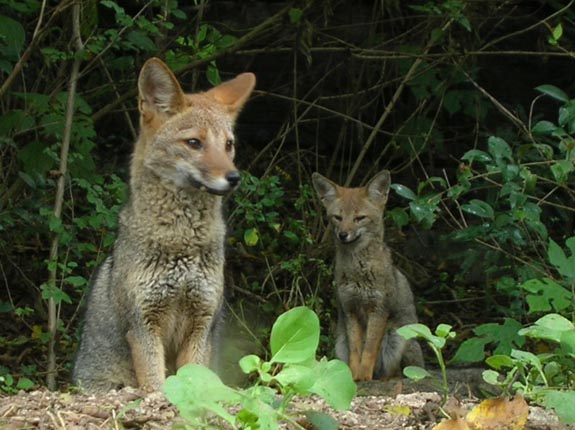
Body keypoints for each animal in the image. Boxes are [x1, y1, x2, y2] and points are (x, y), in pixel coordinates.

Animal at [72, 58, 256, 392]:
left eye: (228, 145)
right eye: (194, 143)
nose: (234, 177)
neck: (181, 242)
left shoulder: (201, 324)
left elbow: (194, 378)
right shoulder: (144, 325)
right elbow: (155, 385)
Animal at [316, 170, 424, 382]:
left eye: (359, 218)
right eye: (337, 217)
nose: (343, 234)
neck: (358, 273)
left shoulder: (379, 310)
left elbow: (369, 350)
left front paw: (365, 375)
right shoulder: (350, 309)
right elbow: (356, 351)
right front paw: (354, 377)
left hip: (395, 338)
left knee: (398, 373)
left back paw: (384, 378)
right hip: (340, 345)